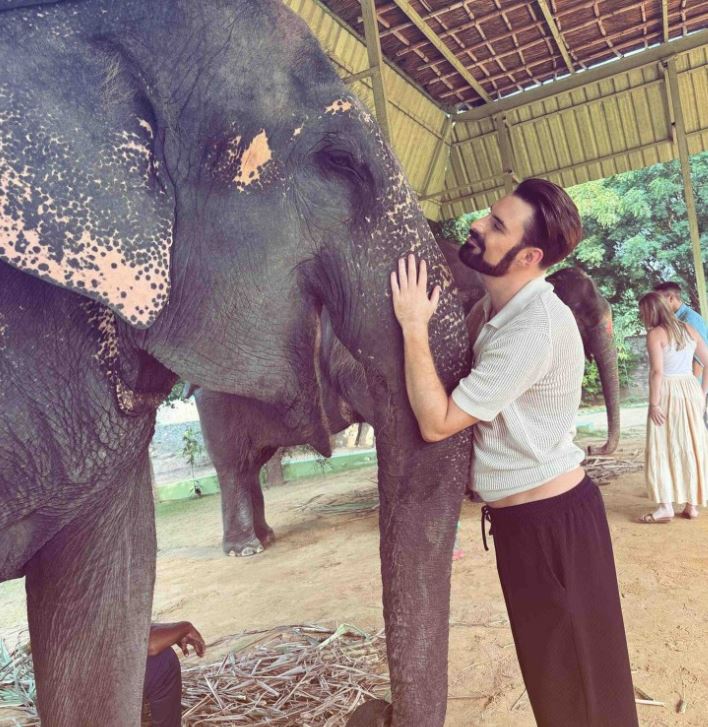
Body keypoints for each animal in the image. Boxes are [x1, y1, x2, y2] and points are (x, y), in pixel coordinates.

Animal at [188, 239, 620, 556]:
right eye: (583, 318)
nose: (595, 448)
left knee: (250, 464)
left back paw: (265, 537)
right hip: (219, 402)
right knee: (234, 466)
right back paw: (246, 549)